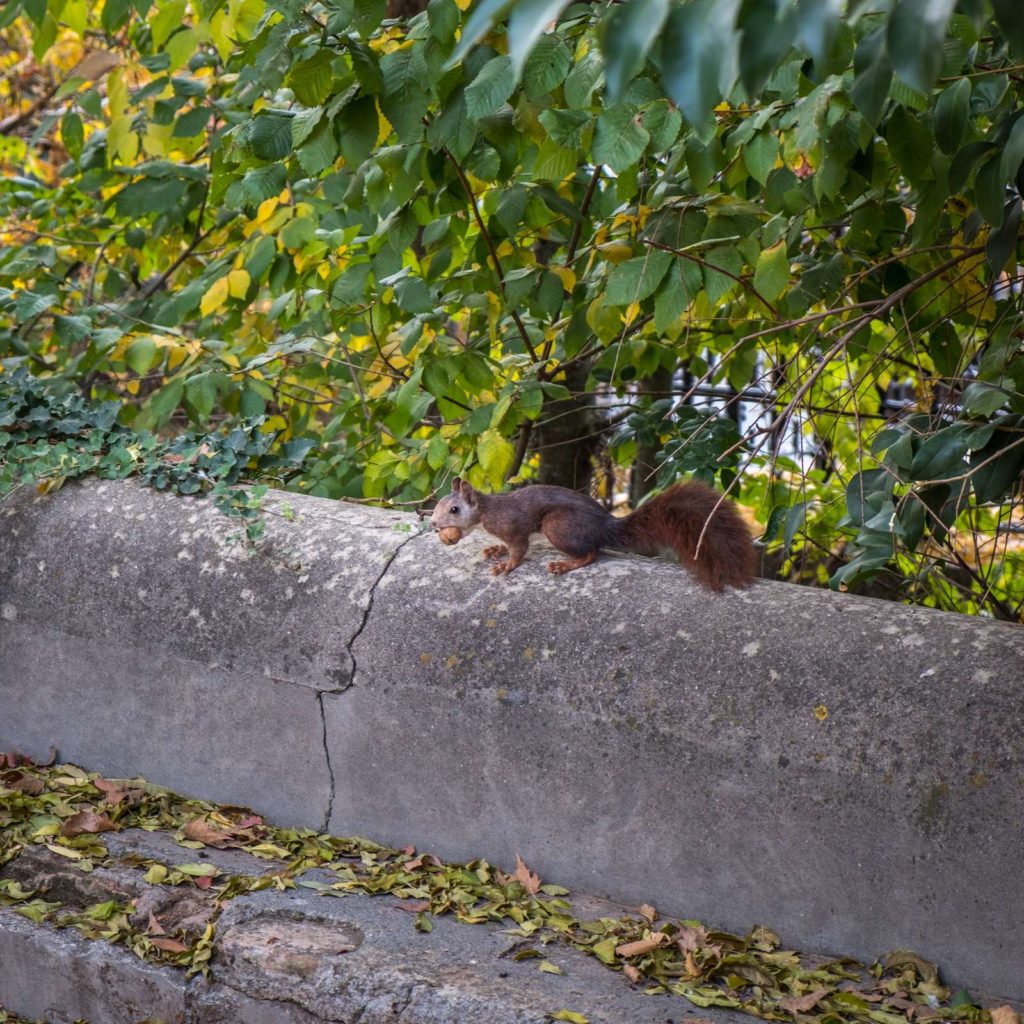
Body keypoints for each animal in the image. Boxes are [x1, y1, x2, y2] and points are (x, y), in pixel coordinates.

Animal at [428, 475, 757, 589]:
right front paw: (494, 549)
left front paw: (506, 565)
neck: (485, 514)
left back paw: (566, 564)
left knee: (592, 553)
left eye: (454, 510)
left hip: (557, 525)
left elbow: (519, 549)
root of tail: (605, 526)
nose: (432, 524)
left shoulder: (514, 527)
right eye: (439, 504)